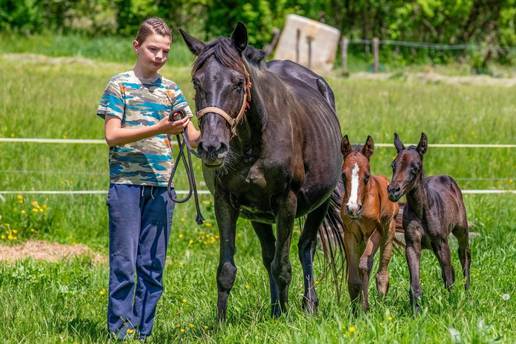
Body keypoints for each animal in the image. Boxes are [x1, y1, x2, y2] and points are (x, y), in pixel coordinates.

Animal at [179, 23, 344, 320]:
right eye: (197, 82)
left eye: (238, 82)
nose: (212, 147)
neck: (252, 144)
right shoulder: (226, 202)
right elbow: (227, 270)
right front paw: (220, 323)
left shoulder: (287, 202)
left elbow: (283, 266)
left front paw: (286, 319)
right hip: (260, 215)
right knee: (269, 255)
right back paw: (275, 307)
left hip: (320, 204)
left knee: (306, 248)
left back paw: (307, 305)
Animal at [340, 135, 402, 312]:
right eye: (343, 175)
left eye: (366, 176)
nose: (352, 208)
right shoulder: (350, 234)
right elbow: (355, 276)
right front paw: (355, 310)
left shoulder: (377, 232)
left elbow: (364, 265)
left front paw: (365, 308)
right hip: (361, 240)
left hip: (388, 232)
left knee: (381, 269)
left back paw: (381, 303)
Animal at [388, 133, 472, 314]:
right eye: (393, 165)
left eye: (415, 167)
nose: (393, 191)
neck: (421, 210)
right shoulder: (412, 244)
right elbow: (415, 283)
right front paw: (416, 311)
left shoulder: (441, 242)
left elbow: (448, 278)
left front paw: (450, 305)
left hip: (461, 231)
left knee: (464, 257)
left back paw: (468, 295)